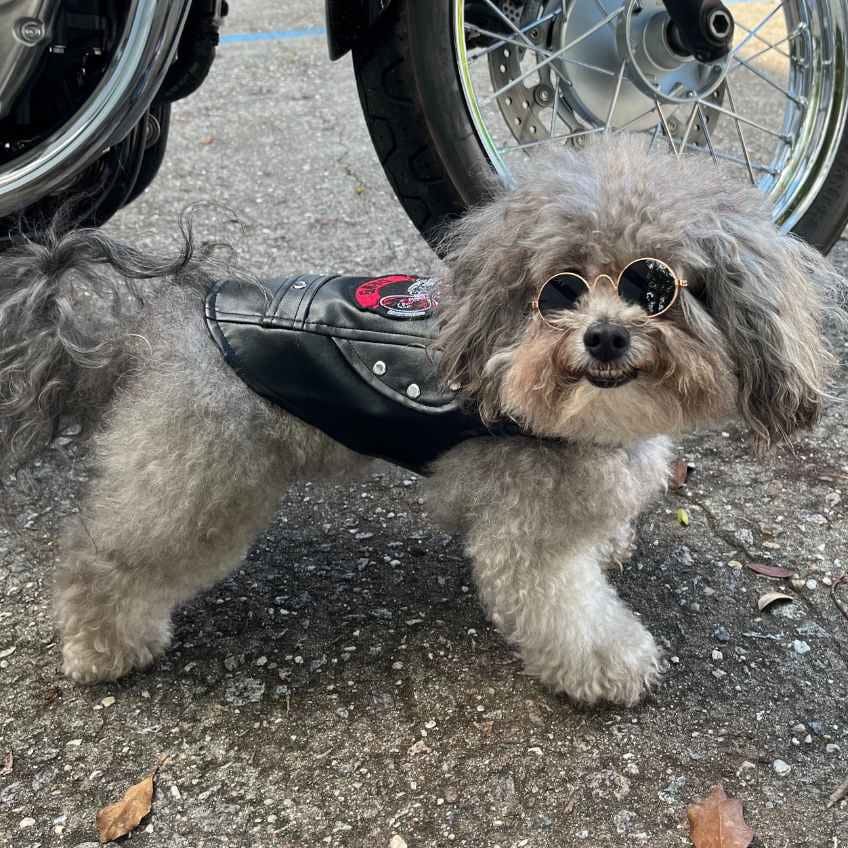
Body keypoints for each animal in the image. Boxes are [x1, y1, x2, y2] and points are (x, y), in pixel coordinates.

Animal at [0, 139, 840, 704]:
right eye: (560, 289)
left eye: (655, 286)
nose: (604, 336)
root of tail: (159, 319)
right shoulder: (522, 534)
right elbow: (563, 608)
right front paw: (610, 663)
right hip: (195, 484)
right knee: (102, 560)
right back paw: (101, 644)